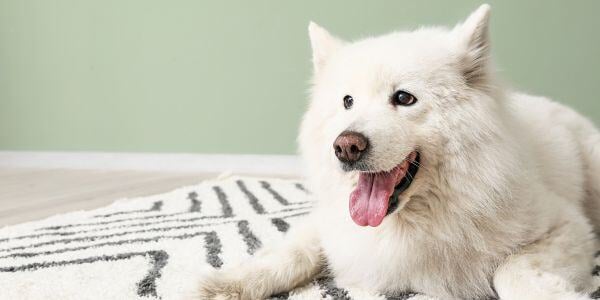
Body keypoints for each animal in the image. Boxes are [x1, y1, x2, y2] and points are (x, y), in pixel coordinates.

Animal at [200, 4, 600, 300]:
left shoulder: (567, 226)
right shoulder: (331, 225)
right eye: (347, 101)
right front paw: (224, 283)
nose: (345, 147)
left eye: (404, 98)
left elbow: (510, 271)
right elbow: (291, 253)